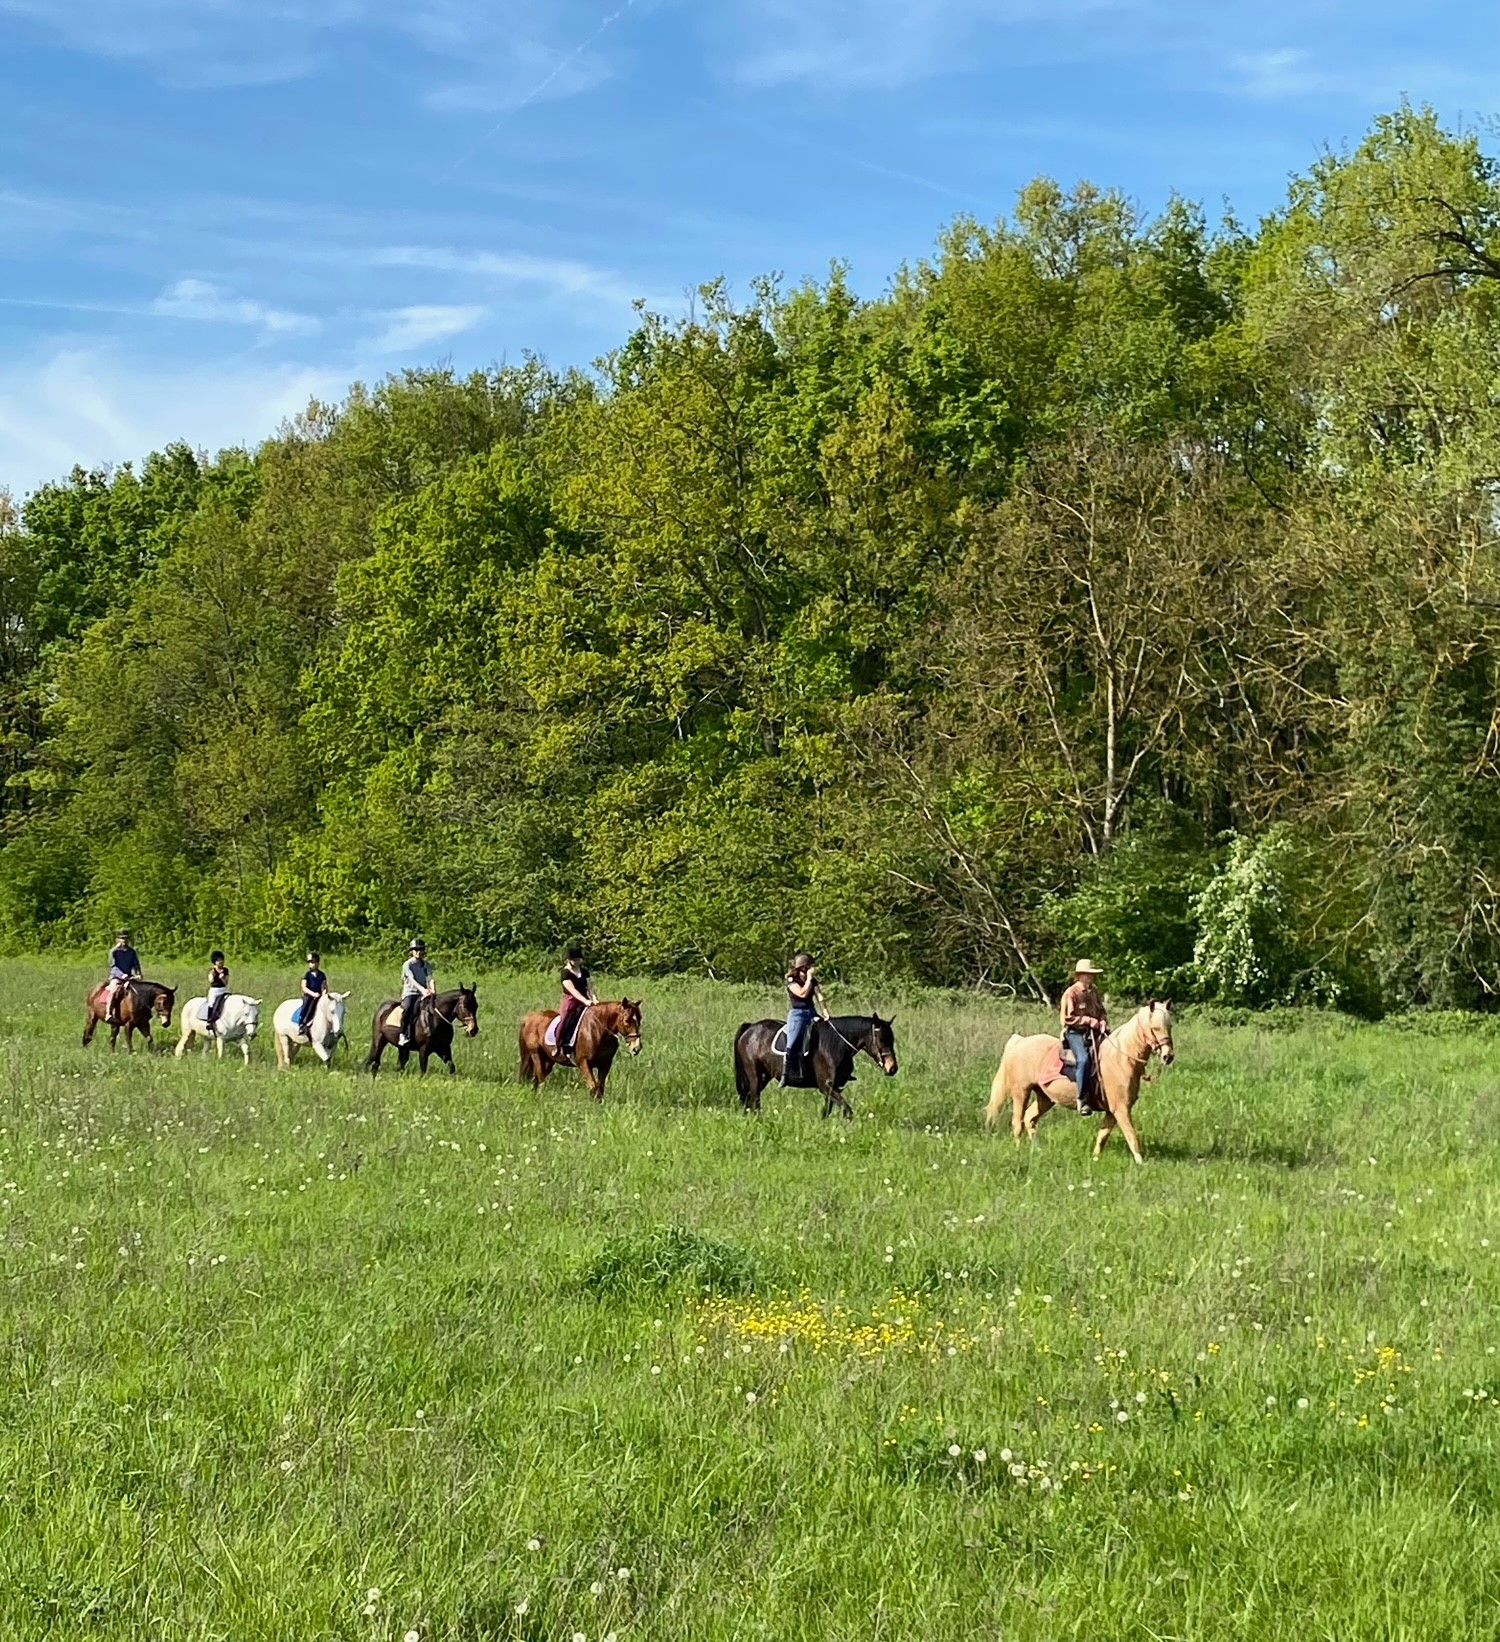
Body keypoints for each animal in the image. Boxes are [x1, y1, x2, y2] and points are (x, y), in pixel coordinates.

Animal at [731, 1011, 892, 1116]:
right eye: (881, 1039)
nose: (892, 1067)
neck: (836, 1044)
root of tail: (750, 1028)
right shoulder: (826, 1086)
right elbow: (847, 1111)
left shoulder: (835, 1087)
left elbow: (827, 1111)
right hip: (754, 1076)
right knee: (754, 1101)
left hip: (764, 1077)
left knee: (749, 1100)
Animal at [978, 998, 1175, 1169]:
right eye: (1155, 1028)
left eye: (1170, 1026)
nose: (1168, 1056)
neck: (1121, 1058)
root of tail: (1020, 1041)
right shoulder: (1121, 1109)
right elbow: (1131, 1135)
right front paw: (1141, 1162)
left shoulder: (1112, 1111)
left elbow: (1102, 1135)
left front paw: (1095, 1158)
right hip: (1021, 1092)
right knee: (1017, 1122)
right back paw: (1019, 1152)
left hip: (1045, 1098)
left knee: (1029, 1118)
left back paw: (1038, 1150)